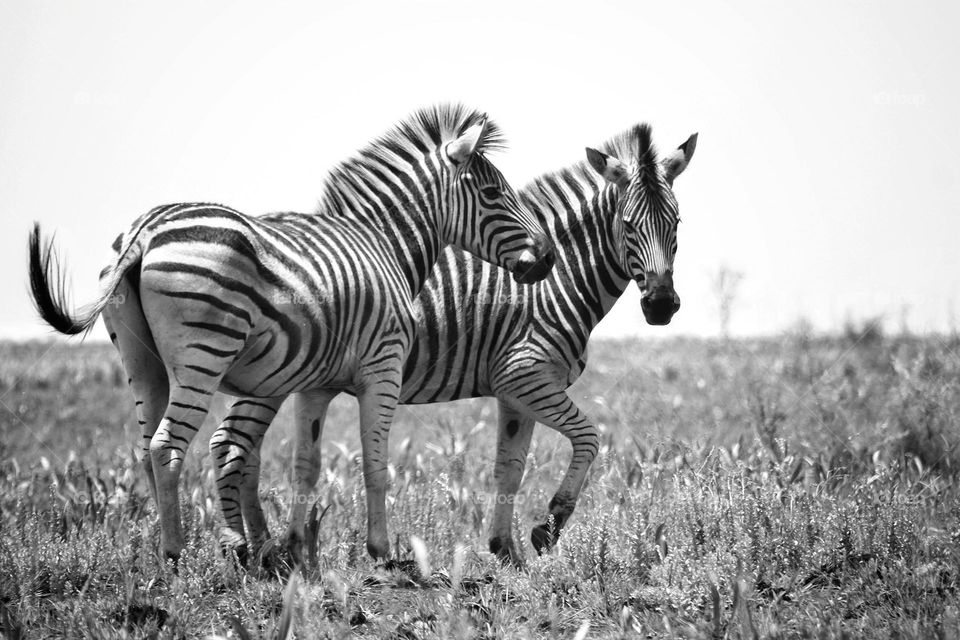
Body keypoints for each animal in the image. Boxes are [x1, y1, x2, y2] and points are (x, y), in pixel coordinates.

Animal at [28, 105, 556, 560]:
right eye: (493, 195)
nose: (548, 258)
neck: (385, 244)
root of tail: (146, 231)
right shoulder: (384, 366)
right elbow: (376, 463)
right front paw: (382, 551)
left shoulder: (315, 383)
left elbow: (309, 464)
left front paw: (297, 548)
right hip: (204, 353)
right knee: (166, 448)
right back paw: (175, 555)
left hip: (141, 362)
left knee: (144, 451)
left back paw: (174, 551)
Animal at [208, 124, 696, 564]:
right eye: (629, 226)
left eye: (677, 223)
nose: (660, 305)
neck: (558, 281)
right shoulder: (526, 375)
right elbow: (590, 437)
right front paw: (548, 527)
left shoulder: (515, 393)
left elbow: (509, 470)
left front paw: (505, 551)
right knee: (231, 445)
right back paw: (252, 551)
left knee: (240, 448)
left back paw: (264, 550)